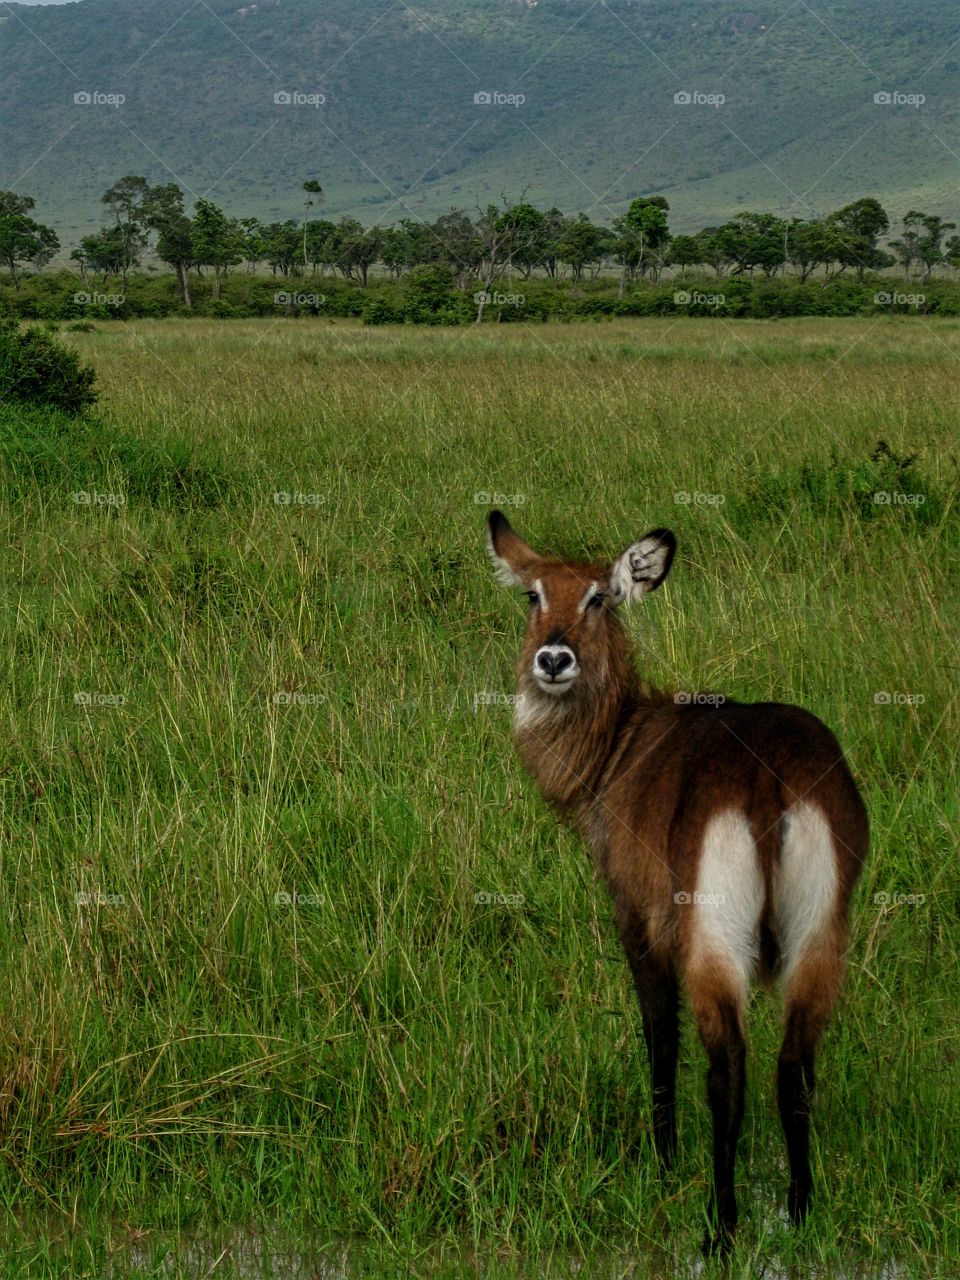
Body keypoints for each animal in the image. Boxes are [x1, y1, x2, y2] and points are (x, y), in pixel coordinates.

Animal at [483, 509, 870, 1249]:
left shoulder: (636, 917)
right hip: (821, 933)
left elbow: (658, 1036)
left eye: (598, 598)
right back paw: (798, 1208)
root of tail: (767, 778)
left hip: (712, 936)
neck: (618, 746)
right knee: (794, 1067)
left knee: (728, 1069)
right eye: (534, 595)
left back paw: (720, 1225)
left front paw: (661, 1162)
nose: (553, 659)